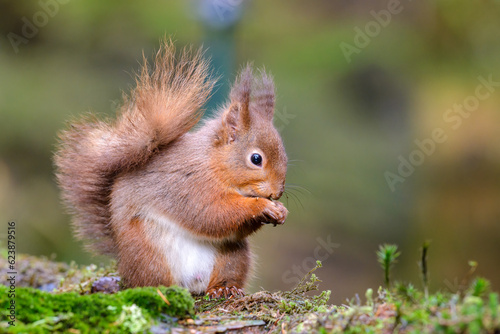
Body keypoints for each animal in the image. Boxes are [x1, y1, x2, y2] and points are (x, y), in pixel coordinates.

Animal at [53, 40, 290, 298]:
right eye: (256, 159)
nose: (277, 192)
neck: (213, 164)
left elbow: (231, 228)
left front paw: (280, 211)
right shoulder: (189, 185)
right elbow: (212, 214)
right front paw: (262, 206)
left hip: (233, 256)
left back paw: (223, 288)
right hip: (147, 250)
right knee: (151, 280)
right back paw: (162, 290)